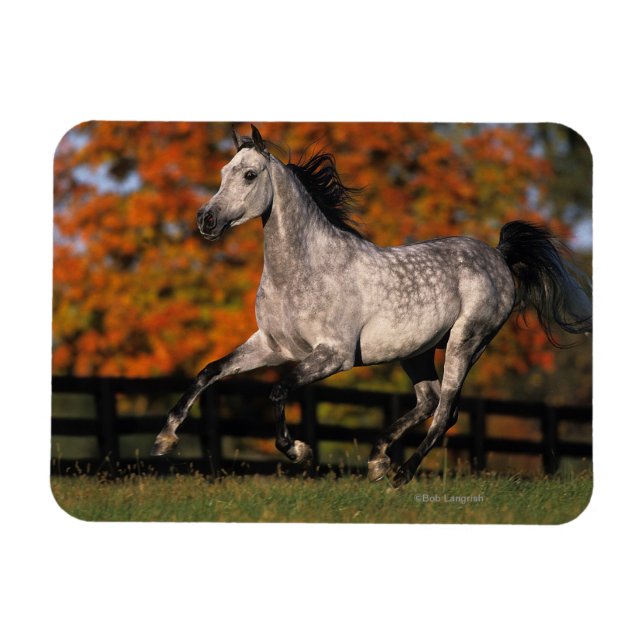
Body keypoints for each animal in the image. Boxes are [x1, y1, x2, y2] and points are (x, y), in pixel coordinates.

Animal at [151, 125, 592, 487]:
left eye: (249, 175)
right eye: (223, 172)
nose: (206, 220)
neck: (302, 270)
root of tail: (499, 256)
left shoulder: (335, 354)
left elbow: (278, 391)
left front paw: (299, 451)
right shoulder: (272, 345)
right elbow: (209, 372)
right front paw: (165, 439)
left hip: (466, 343)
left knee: (446, 410)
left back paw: (401, 473)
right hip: (415, 352)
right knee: (428, 399)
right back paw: (378, 460)